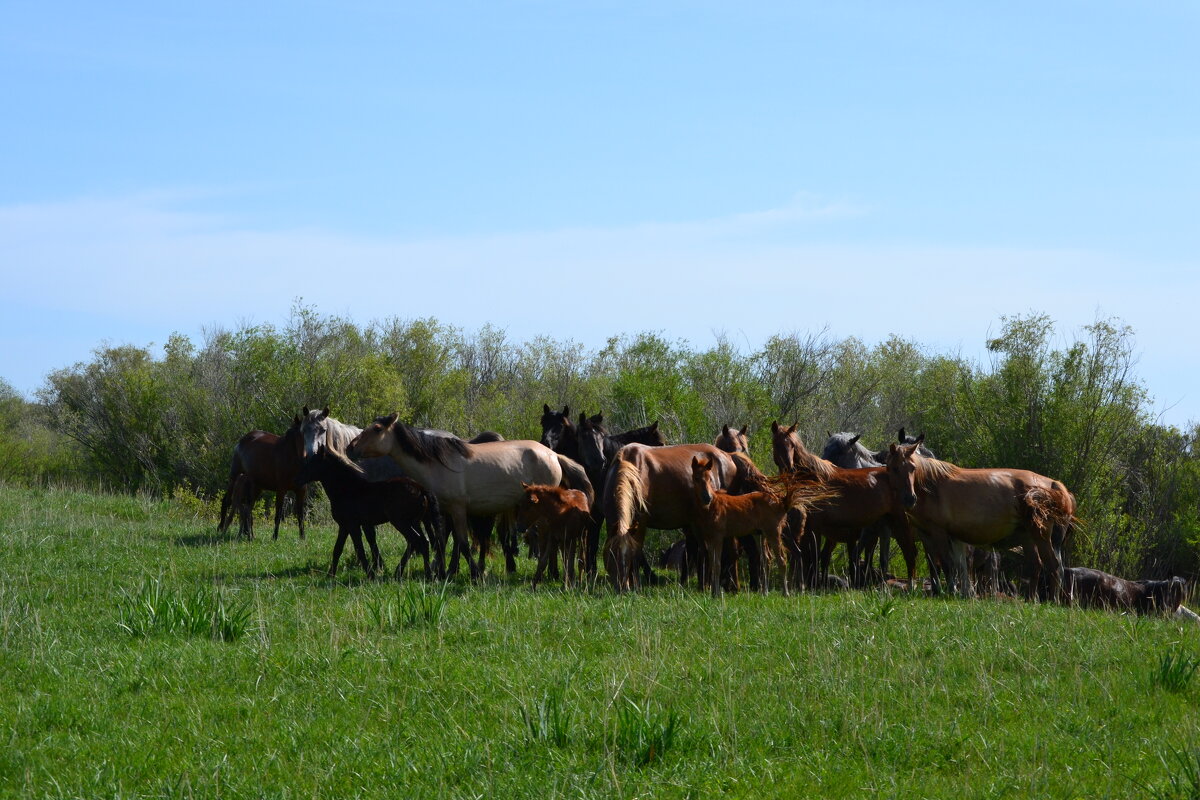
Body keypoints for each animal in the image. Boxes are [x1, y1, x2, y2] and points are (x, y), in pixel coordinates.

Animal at [294, 443, 436, 582]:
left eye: (313, 463)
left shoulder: (353, 525)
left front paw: (371, 575)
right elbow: (337, 549)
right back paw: (401, 573)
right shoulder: (344, 526)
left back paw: (426, 575)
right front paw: (330, 576)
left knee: (419, 541)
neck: (347, 490)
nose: (297, 480)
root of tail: (420, 489)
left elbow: (360, 550)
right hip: (413, 522)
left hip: (401, 522)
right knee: (419, 542)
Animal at [345, 417, 592, 578]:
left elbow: (462, 544)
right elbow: (443, 541)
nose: (350, 448)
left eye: (377, 428)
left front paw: (474, 573)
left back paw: (552, 573)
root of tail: (554, 455)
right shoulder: (444, 510)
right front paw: (442, 572)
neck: (438, 463)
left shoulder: (458, 509)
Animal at [768, 422, 916, 592]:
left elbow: (815, 556)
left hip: (897, 523)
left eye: (792, 445)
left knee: (909, 552)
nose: (788, 467)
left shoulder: (817, 528)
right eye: (776, 443)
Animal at [883, 438, 1080, 599]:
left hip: (1040, 536)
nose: (909, 499)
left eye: (913, 468)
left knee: (1053, 567)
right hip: (1029, 537)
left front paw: (950, 592)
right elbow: (956, 564)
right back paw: (1031, 600)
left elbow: (947, 563)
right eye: (894, 468)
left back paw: (1052, 600)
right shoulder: (943, 536)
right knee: (1037, 566)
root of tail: (1053, 484)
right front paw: (956, 592)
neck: (932, 487)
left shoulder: (939, 532)